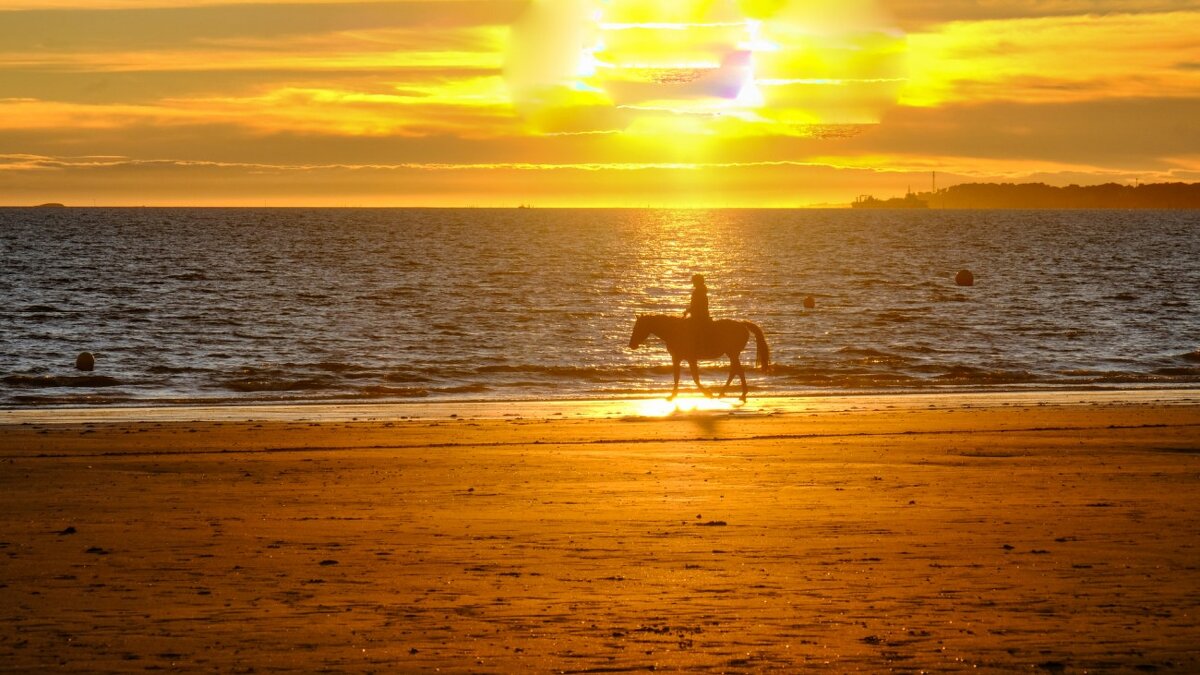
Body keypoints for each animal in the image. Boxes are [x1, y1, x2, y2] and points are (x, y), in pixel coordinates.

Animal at [628, 314, 768, 401]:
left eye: (638, 327)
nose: (631, 345)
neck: (674, 331)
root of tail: (742, 325)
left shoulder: (690, 358)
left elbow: (695, 378)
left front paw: (707, 393)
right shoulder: (677, 359)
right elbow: (676, 377)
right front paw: (673, 395)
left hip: (732, 353)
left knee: (736, 371)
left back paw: (736, 393)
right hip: (732, 354)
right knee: (736, 371)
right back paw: (730, 393)